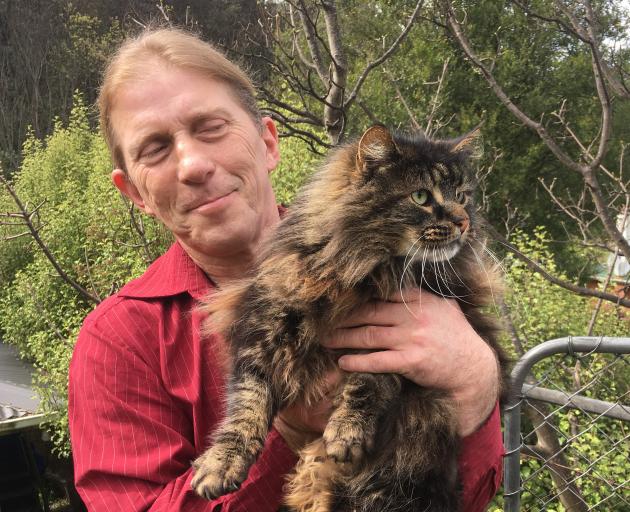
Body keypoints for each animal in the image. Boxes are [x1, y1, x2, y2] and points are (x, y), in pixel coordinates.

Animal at [191, 125, 508, 512]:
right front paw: (221, 463)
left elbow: (368, 380)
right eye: (421, 196)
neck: (363, 272)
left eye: (462, 196)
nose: (463, 222)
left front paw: (347, 431)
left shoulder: (397, 342)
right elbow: (246, 404)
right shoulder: (265, 326)